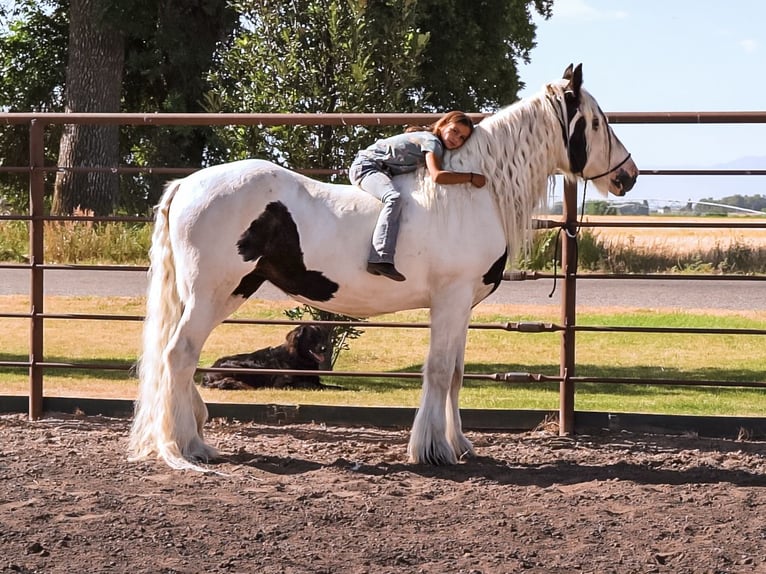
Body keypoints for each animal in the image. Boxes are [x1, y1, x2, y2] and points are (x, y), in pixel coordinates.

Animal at [129, 64, 638, 471]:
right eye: (595, 121)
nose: (628, 175)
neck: (472, 192)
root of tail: (186, 185)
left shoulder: (462, 307)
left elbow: (455, 373)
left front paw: (460, 444)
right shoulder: (450, 299)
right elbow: (438, 371)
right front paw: (432, 450)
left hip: (218, 292)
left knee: (177, 357)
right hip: (214, 293)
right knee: (179, 355)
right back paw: (189, 446)